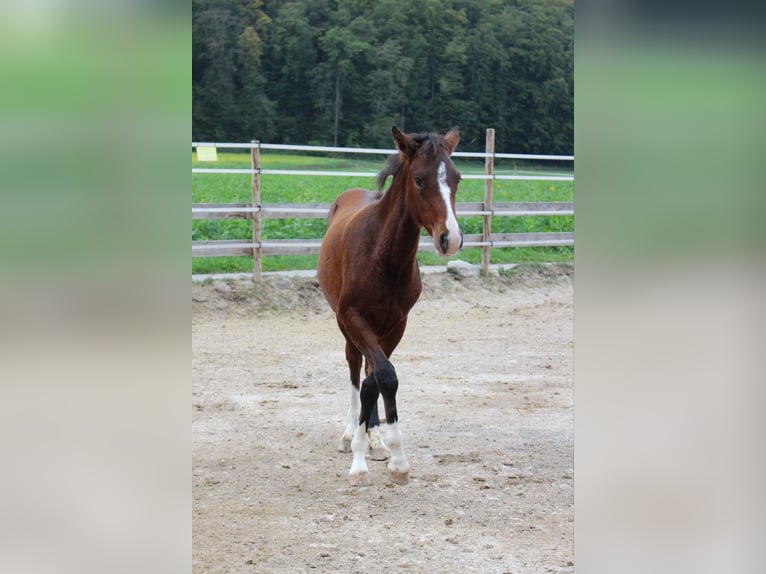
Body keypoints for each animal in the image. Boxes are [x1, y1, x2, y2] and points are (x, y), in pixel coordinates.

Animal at [316, 126, 462, 486]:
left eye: (457, 178)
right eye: (420, 179)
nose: (450, 238)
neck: (384, 257)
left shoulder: (397, 324)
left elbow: (379, 379)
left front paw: (388, 452)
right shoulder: (354, 319)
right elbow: (381, 376)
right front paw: (362, 461)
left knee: (368, 375)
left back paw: (373, 439)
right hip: (347, 328)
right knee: (354, 371)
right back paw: (348, 435)